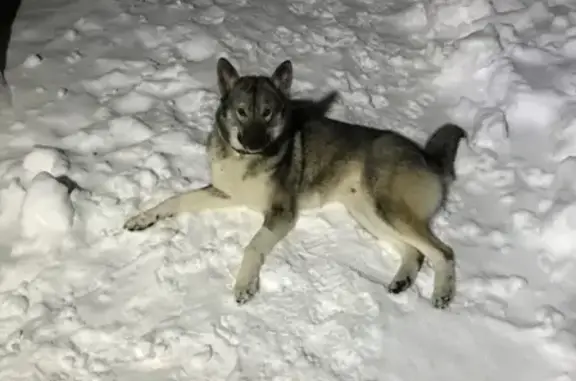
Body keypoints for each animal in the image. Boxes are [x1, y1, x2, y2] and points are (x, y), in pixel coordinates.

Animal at [124, 57, 466, 308]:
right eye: (242, 112)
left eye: (267, 113)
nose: (255, 144)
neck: (243, 161)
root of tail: (426, 155)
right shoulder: (223, 193)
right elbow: (175, 199)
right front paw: (143, 218)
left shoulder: (281, 213)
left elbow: (252, 246)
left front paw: (244, 284)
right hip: (368, 214)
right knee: (415, 252)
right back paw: (402, 280)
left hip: (386, 208)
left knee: (444, 251)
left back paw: (443, 293)